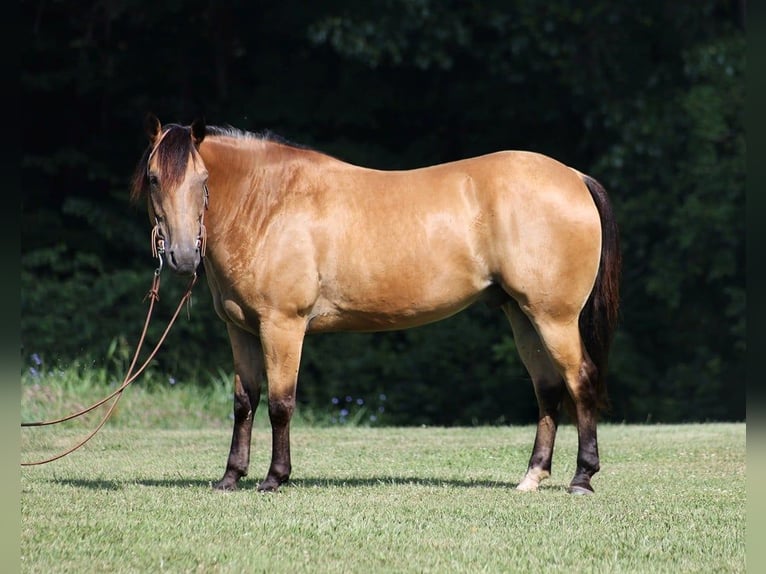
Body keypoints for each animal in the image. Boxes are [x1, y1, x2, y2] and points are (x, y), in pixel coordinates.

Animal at [130, 116, 624, 496]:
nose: (182, 257)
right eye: (154, 180)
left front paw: (274, 479)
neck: (269, 204)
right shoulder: (242, 329)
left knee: (580, 381)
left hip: (554, 318)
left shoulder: (282, 326)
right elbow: (243, 402)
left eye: (202, 182)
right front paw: (231, 477)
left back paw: (582, 478)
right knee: (548, 389)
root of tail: (574, 177)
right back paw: (532, 477)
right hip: (522, 316)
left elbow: (280, 404)